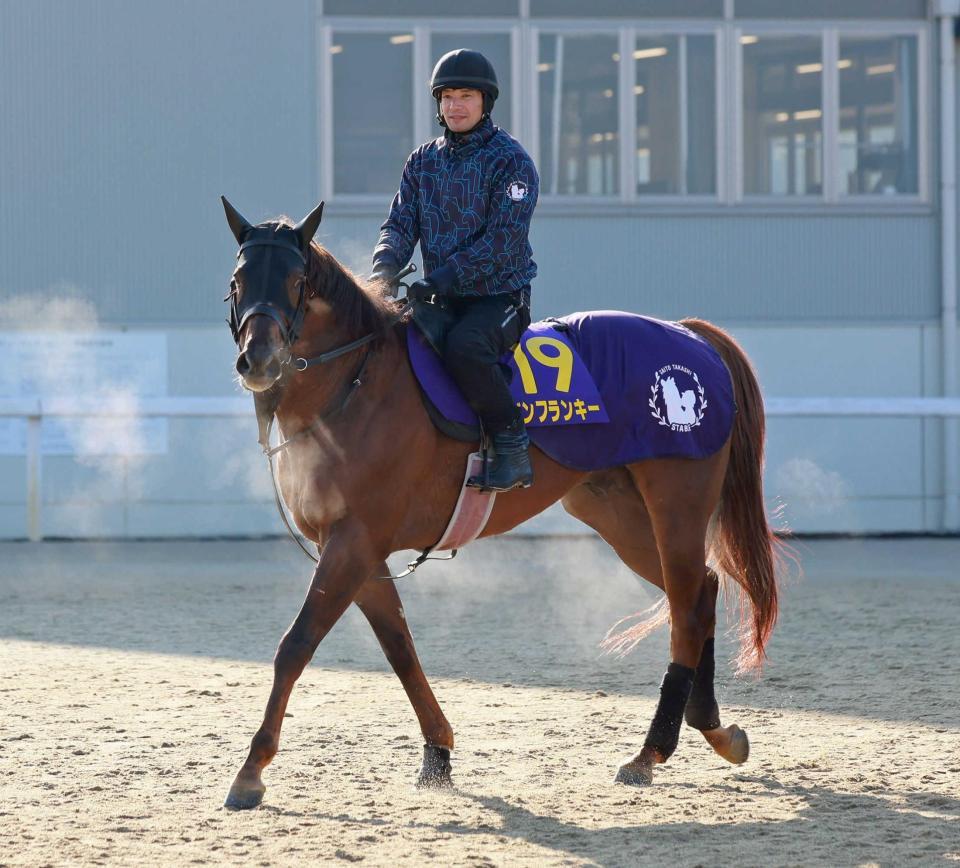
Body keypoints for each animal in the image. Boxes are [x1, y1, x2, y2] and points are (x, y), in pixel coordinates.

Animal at [219, 195, 788, 808]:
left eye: (297, 280)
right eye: (238, 281)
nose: (258, 359)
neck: (356, 384)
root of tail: (690, 337)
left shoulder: (354, 543)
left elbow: (296, 644)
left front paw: (251, 770)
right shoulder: (358, 551)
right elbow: (400, 648)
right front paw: (438, 752)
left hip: (676, 506)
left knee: (687, 608)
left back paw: (649, 754)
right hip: (618, 514)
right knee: (701, 592)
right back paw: (715, 731)